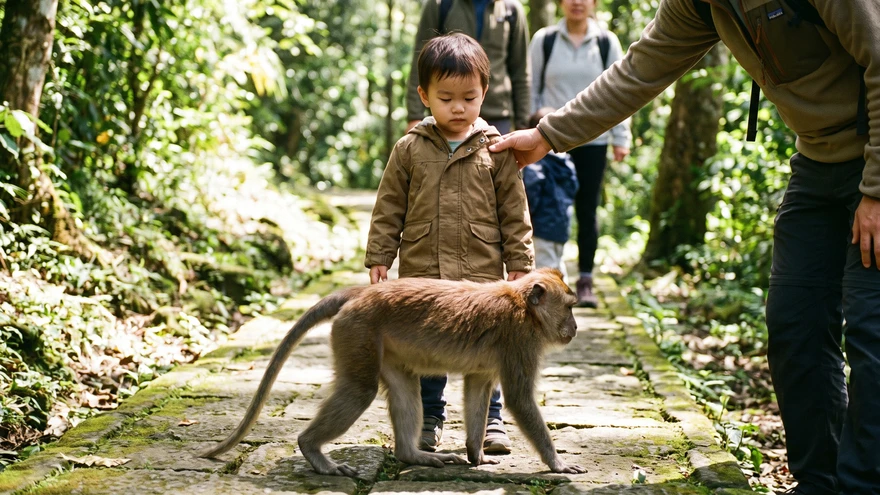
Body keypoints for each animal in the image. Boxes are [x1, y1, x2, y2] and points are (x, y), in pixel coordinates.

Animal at [199, 267, 586, 477]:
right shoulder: (520, 341)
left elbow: (477, 389)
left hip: (377, 345)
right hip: (358, 333)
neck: (525, 309)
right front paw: (557, 464)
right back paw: (314, 452)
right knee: (360, 390)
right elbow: (519, 399)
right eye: (569, 307)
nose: (576, 327)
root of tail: (361, 294)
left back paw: (412, 455)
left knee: (404, 389)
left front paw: (476, 456)